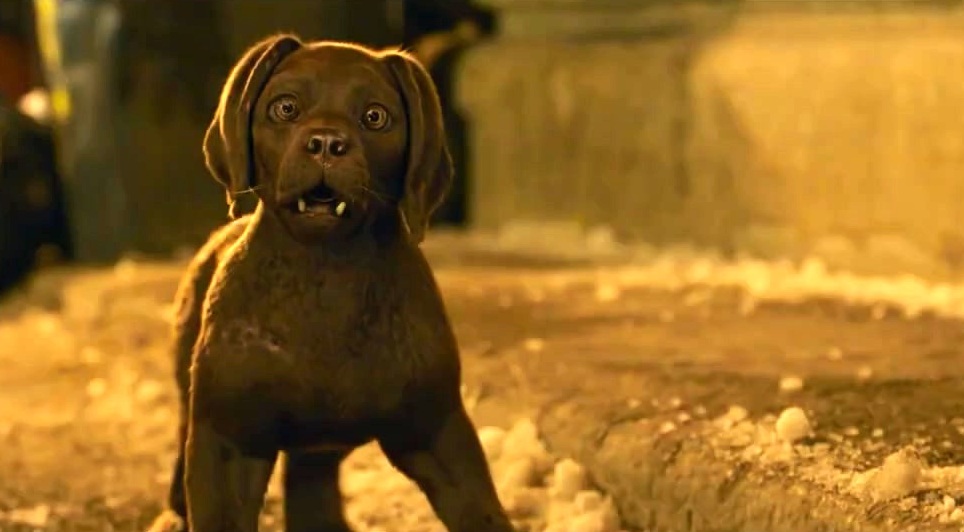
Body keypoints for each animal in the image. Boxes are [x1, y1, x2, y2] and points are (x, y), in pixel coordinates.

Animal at [146, 34, 516, 532]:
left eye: (375, 116)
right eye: (285, 108)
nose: (326, 142)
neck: (327, 276)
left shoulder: (436, 428)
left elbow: (482, 511)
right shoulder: (228, 441)